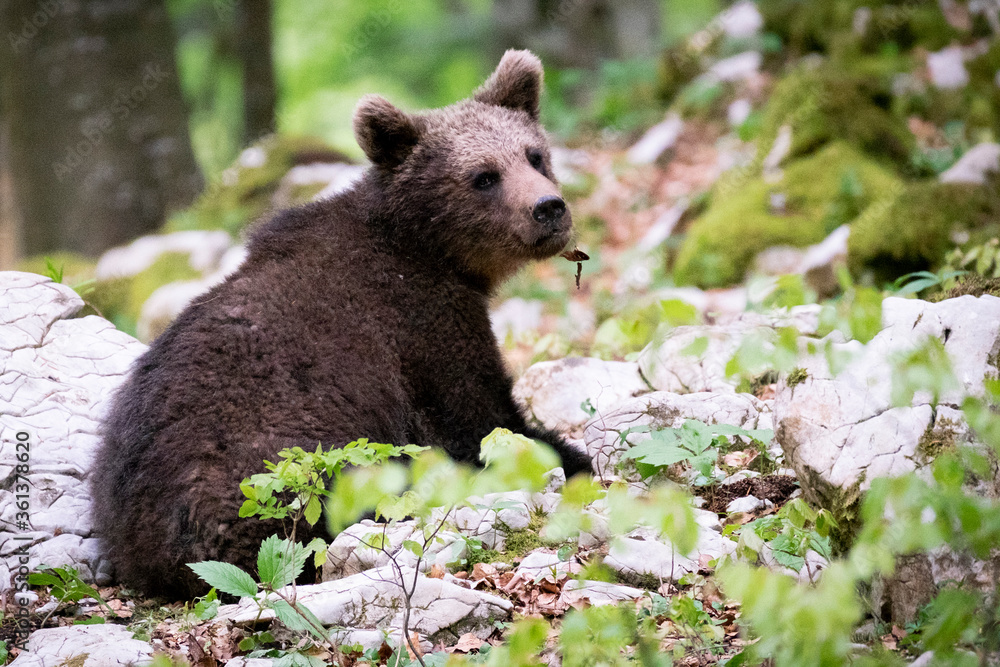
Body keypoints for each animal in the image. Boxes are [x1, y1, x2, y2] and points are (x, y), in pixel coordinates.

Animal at [90, 50, 593, 600]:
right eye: (483, 176)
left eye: (534, 155)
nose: (549, 207)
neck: (429, 249)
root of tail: (155, 555)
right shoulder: (421, 327)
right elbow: (482, 420)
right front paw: (572, 455)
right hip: (282, 461)